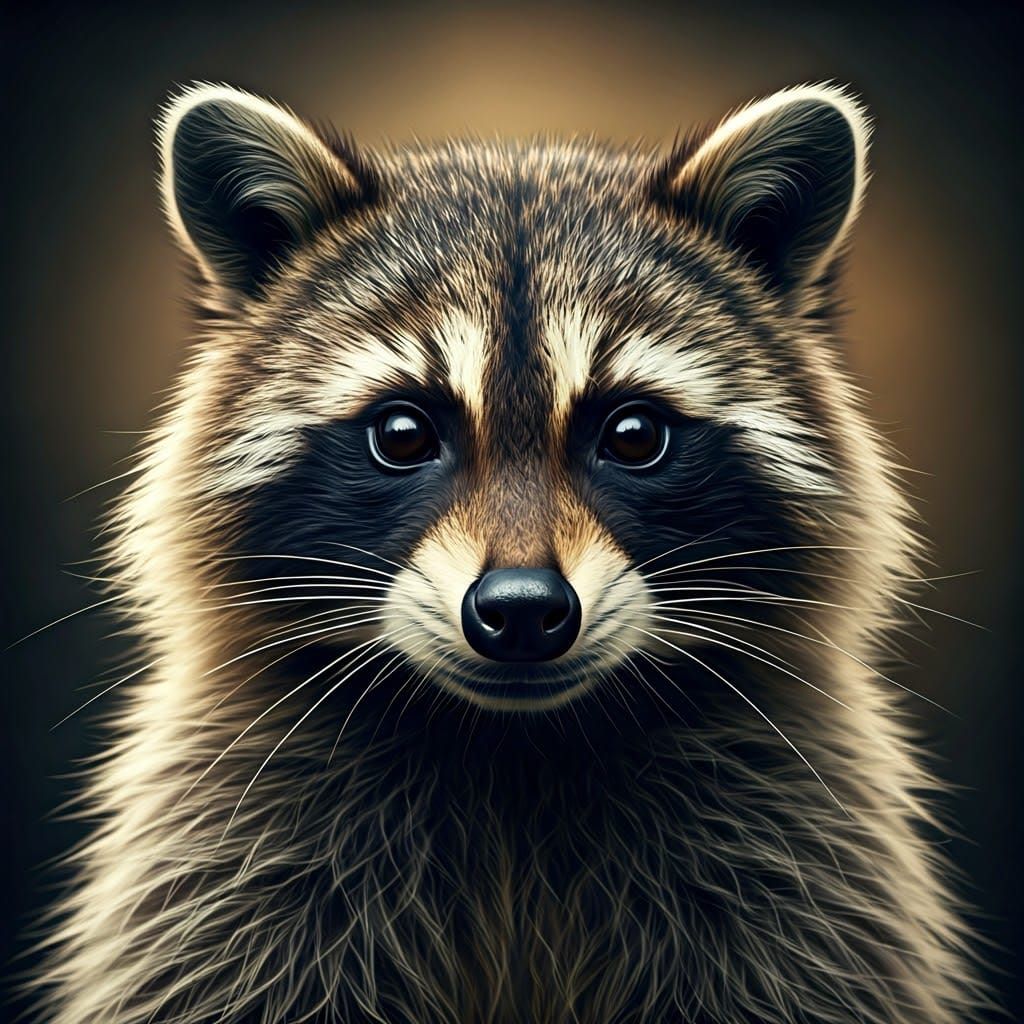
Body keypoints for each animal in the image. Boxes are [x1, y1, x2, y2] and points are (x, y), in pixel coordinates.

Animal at [34, 82, 987, 1023]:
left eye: (634, 435)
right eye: (403, 433)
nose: (523, 611)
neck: (515, 751)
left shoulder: (794, 865)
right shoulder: (232, 865)